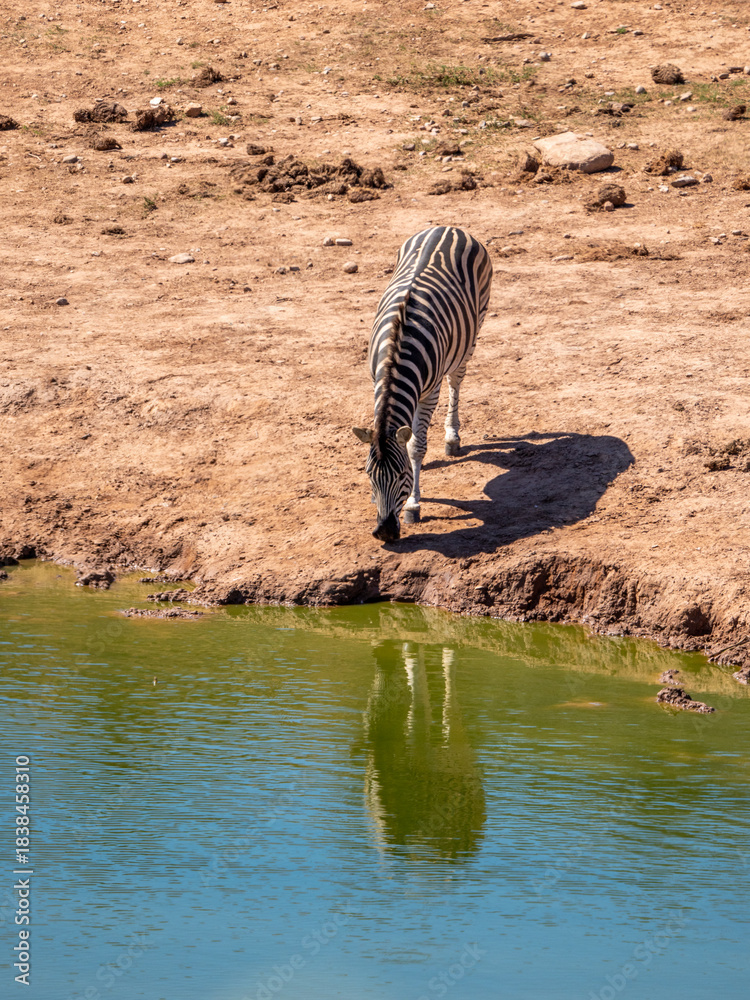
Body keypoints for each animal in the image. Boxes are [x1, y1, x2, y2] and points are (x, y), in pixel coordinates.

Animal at [353, 226, 493, 543]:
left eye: (402, 475)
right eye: (368, 475)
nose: (384, 532)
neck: (396, 354)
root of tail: (448, 226)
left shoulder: (430, 393)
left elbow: (416, 446)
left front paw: (414, 504)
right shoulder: (375, 381)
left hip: (472, 334)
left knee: (457, 380)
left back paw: (452, 436)